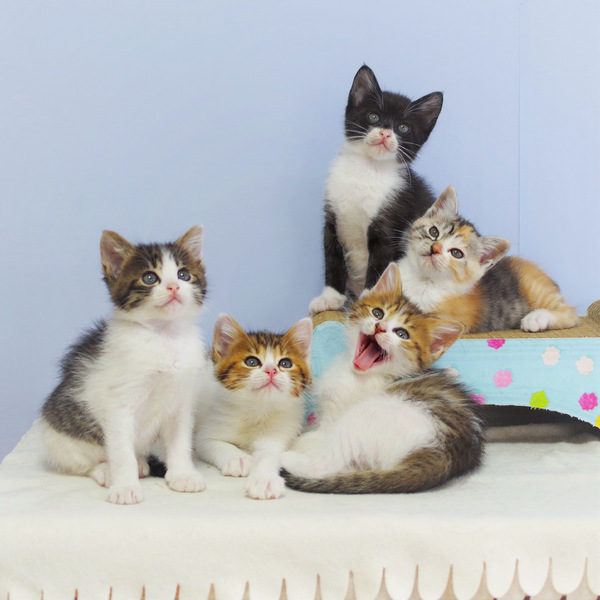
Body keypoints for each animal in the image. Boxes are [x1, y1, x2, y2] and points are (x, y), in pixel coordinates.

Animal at [40, 226, 208, 505]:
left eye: (184, 275)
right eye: (150, 278)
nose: (174, 286)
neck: (163, 337)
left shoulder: (182, 401)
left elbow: (180, 441)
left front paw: (183, 474)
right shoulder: (119, 404)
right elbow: (121, 451)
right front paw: (125, 487)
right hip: (62, 439)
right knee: (84, 461)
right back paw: (107, 471)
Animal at [195, 314, 312, 500]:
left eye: (285, 363)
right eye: (252, 361)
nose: (271, 370)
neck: (257, 410)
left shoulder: (277, 434)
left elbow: (269, 455)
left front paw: (265, 480)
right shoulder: (210, 427)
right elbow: (214, 443)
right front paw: (238, 459)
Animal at [282, 263, 484, 494]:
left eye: (402, 334)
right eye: (378, 313)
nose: (380, 327)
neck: (358, 372)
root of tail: (446, 455)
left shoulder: (335, 415)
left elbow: (319, 435)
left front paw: (301, 440)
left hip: (369, 414)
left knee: (327, 462)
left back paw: (287, 458)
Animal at [309, 64, 443, 315]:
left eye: (403, 127)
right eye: (374, 117)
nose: (385, 133)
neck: (365, 170)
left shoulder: (391, 224)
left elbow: (381, 264)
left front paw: (373, 298)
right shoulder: (331, 218)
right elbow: (332, 258)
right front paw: (331, 298)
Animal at [397, 186, 579, 333]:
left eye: (456, 253)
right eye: (434, 232)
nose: (435, 249)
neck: (423, 280)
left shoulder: (453, 320)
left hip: (534, 287)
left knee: (571, 313)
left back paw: (536, 318)